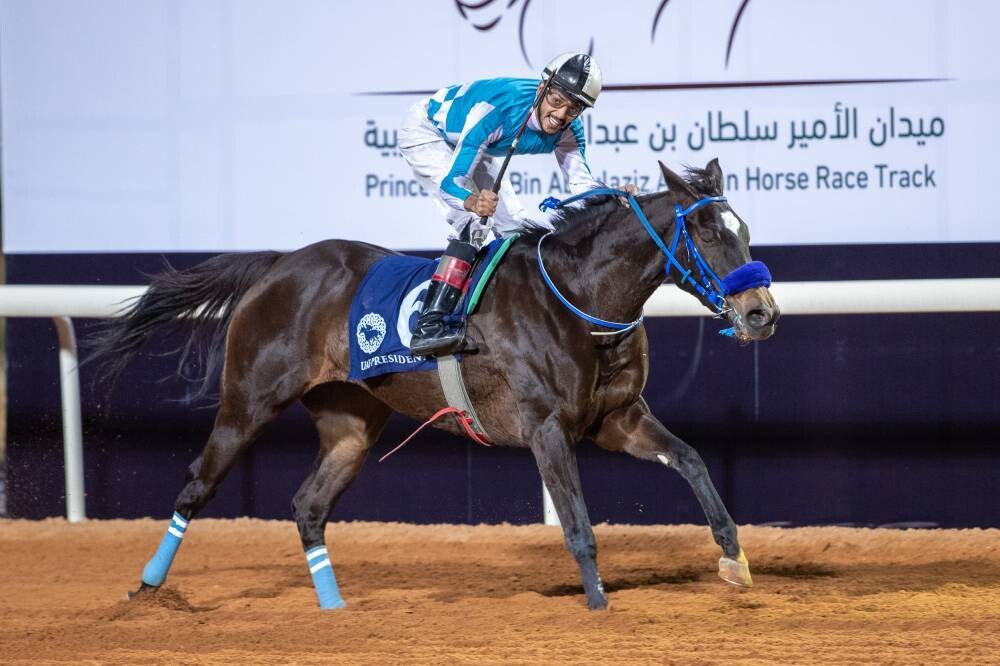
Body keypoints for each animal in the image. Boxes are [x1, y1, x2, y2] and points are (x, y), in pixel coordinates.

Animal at [91, 158, 779, 610]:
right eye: (709, 233)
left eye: (746, 231)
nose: (761, 314)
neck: (580, 298)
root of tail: (279, 264)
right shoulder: (547, 427)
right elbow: (578, 526)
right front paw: (599, 609)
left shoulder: (616, 418)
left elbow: (691, 460)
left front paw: (735, 560)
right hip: (247, 402)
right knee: (196, 486)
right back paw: (147, 592)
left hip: (350, 423)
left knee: (308, 506)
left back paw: (333, 610)